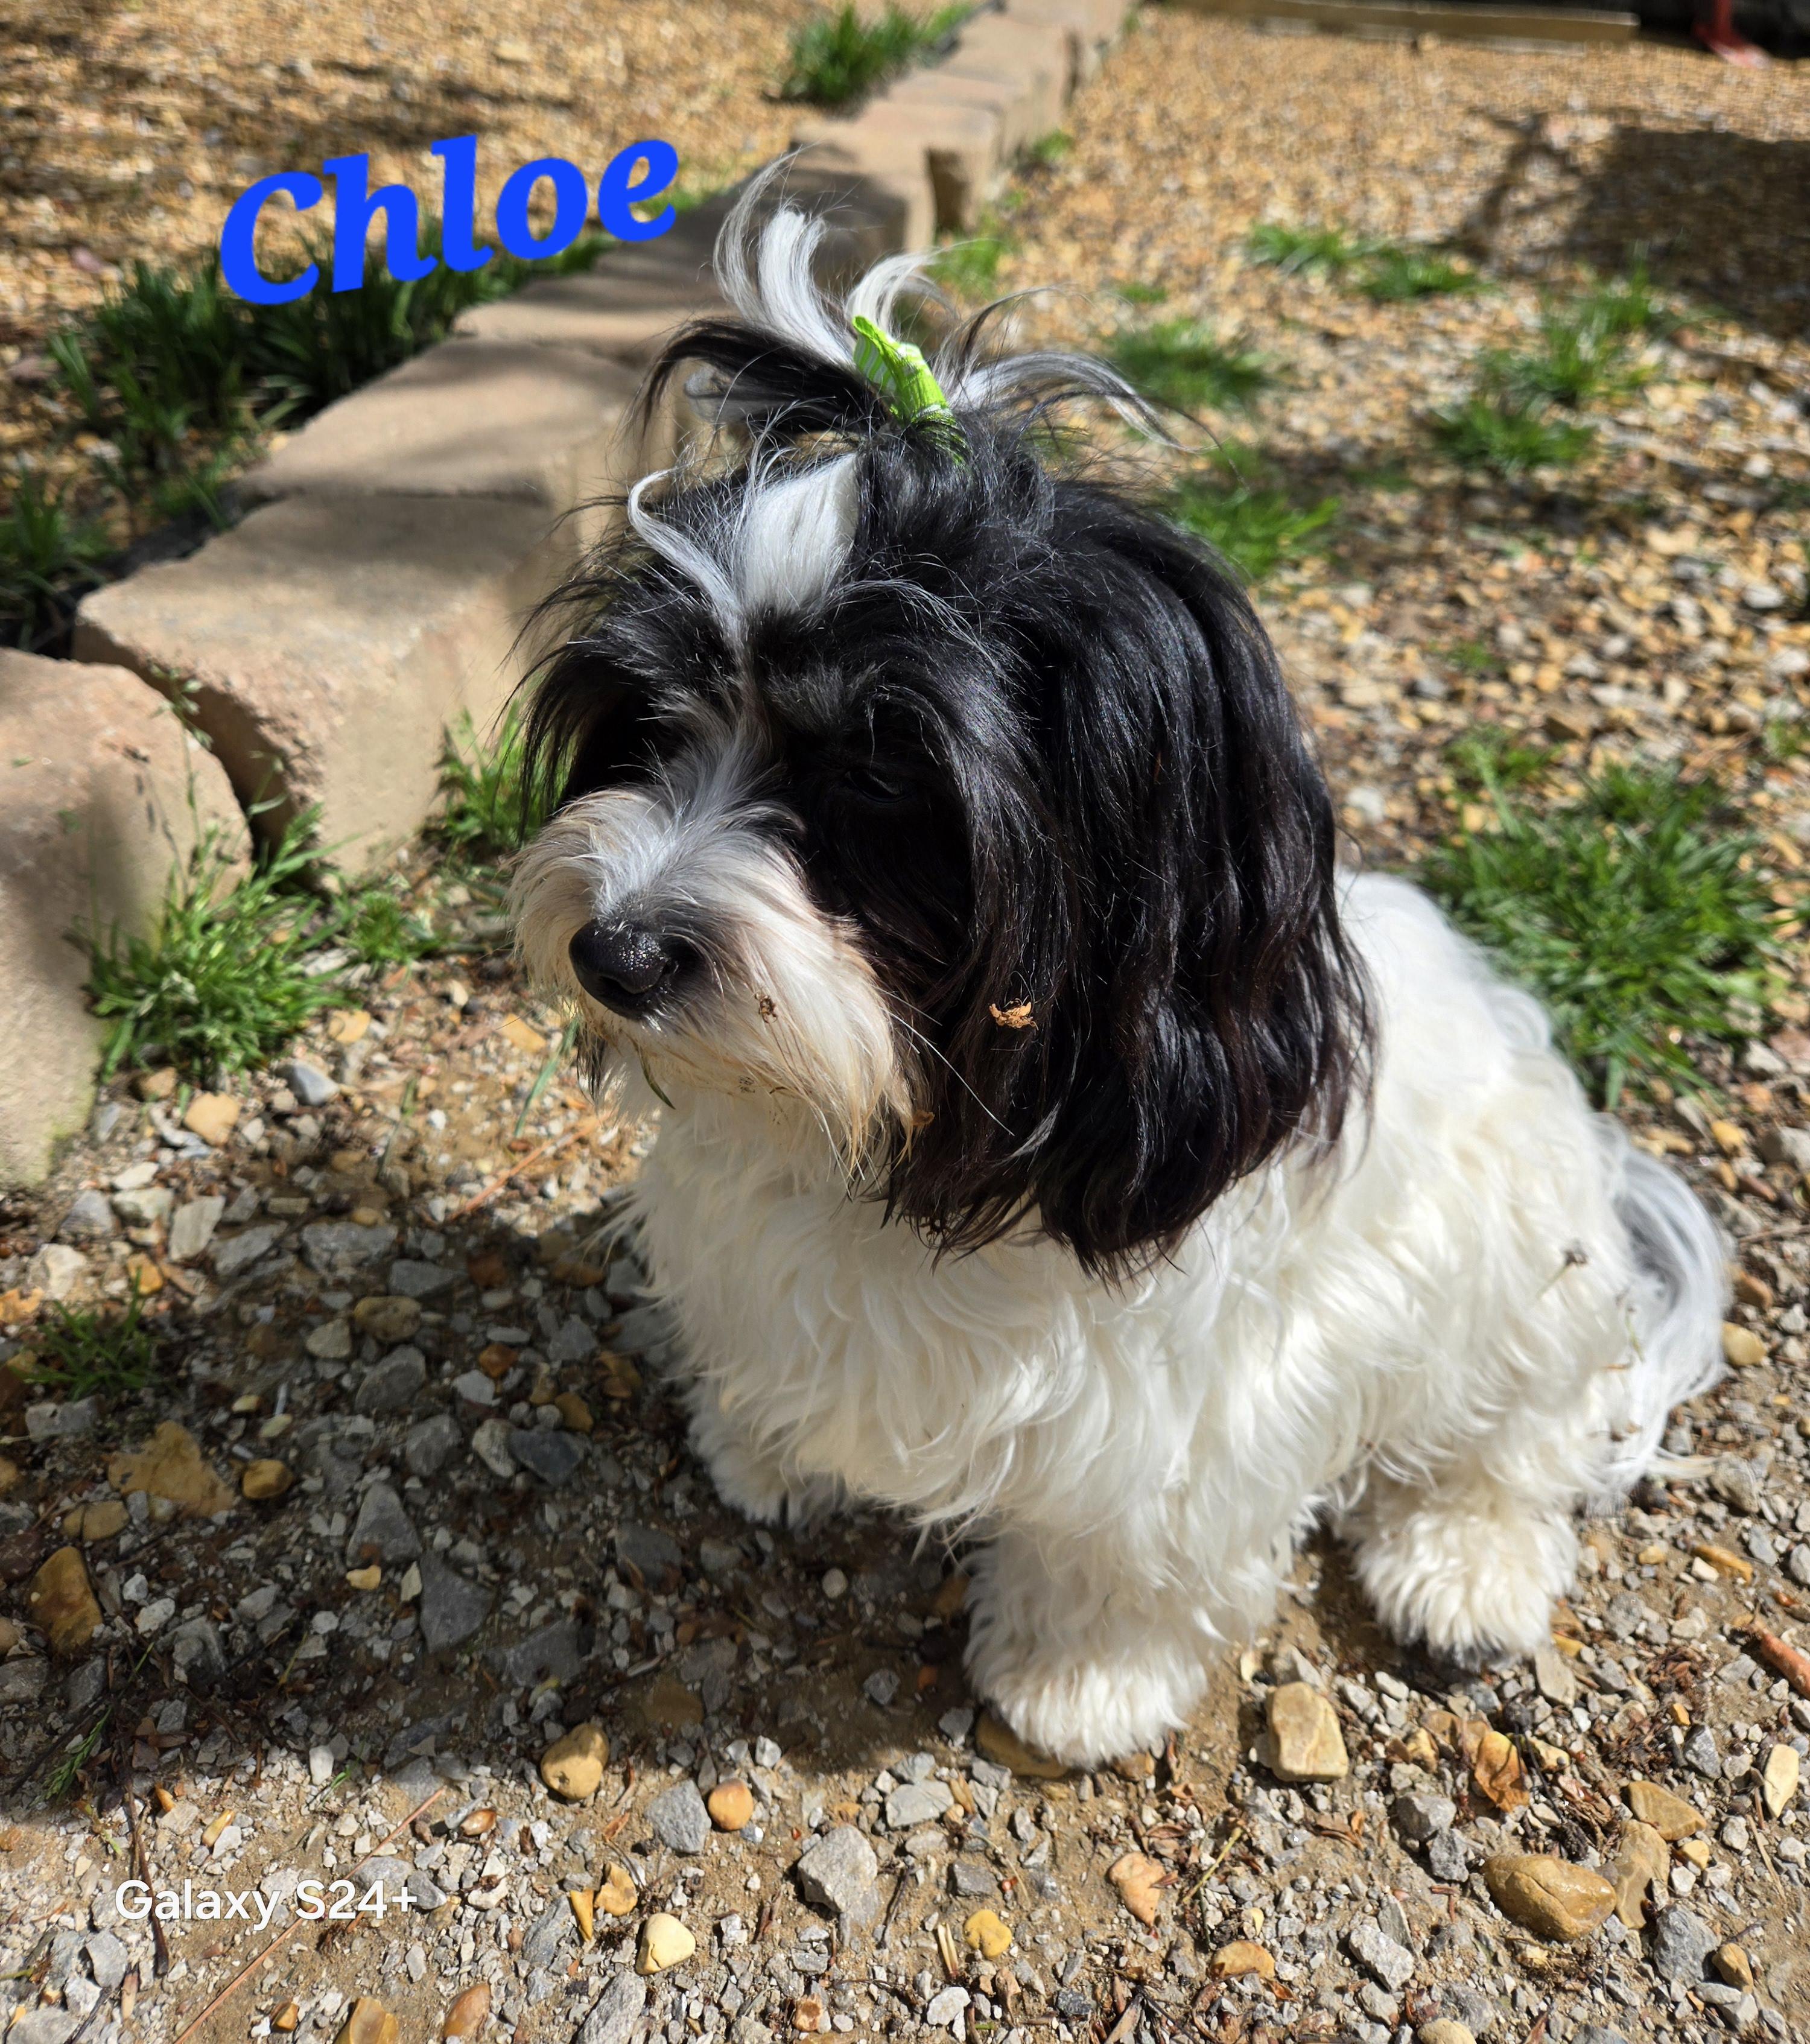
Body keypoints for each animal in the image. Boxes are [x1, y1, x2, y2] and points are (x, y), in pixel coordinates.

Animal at [510, 180, 1726, 1765]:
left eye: (877, 780)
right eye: (651, 723)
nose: (612, 949)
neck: (922, 1131)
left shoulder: (1190, 1409)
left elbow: (1126, 1548)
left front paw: (1080, 1679)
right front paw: (763, 1446)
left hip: (1517, 1284)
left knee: (1513, 1446)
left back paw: (1462, 1565)